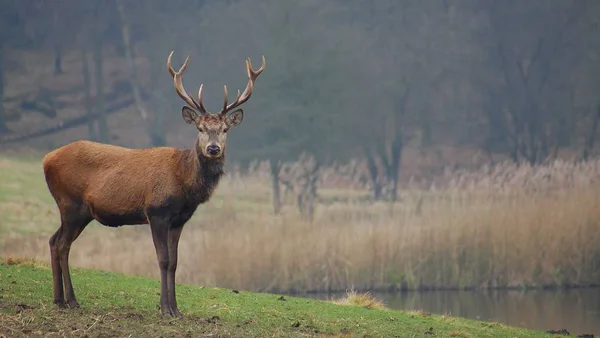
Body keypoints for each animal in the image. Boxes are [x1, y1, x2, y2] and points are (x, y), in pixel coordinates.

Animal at [41, 50, 264, 316]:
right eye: (200, 128)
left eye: (225, 129)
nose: (213, 149)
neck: (184, 185)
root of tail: (46, 159)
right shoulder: (156, 211)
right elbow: (163, 259)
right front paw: (165, 308)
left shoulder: (179, 220)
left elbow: (175, 262)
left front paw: (175, 309)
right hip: (70, 204)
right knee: (62, 245)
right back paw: (72, 300)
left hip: (79, 212)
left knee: (53, 241)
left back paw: (58, 299)